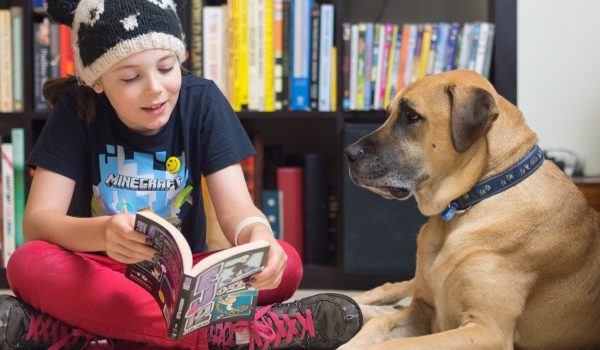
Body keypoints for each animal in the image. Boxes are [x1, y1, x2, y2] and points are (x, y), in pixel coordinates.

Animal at [340, 70, 600, 350]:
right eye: (388, 113)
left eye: (411, 115)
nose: (348, 154)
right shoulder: (423, 308)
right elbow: (381, 323)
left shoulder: (487, 331)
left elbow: (393, 343)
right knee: (390, 290)